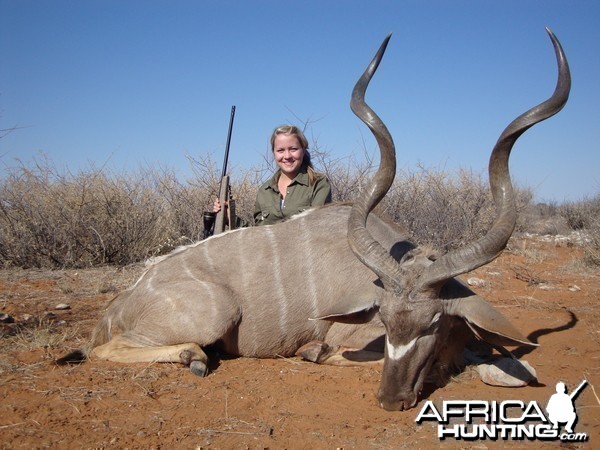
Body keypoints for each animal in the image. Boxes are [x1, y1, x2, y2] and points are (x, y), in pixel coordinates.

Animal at [57, 29, 572, 412]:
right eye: (386, 320)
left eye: (431, 324)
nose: (390, 400)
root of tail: (116, 306)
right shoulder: (349, 336)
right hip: (213, 312)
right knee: (105, 350)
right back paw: (193, 357)